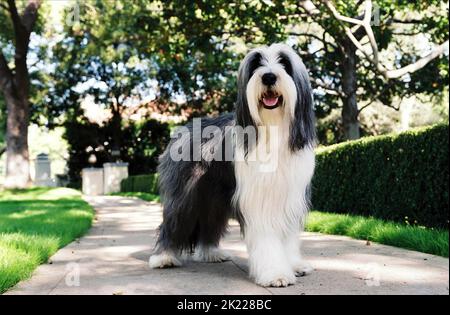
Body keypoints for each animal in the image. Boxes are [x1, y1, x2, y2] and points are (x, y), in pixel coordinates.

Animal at [149, 44, 314, 288]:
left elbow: (289, 237)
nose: (269, 76)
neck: (273, 129)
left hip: (213, 198)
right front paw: (275, 274)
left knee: (209, 221)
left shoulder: (289, 199)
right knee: (175, 220)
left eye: (285, 63)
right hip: (185, 194)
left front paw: (294, 265)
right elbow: (267, 239)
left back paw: (210, 253)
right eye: (256, 64)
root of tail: (186, 126)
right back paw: (163, 257)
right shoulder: (260, 202)